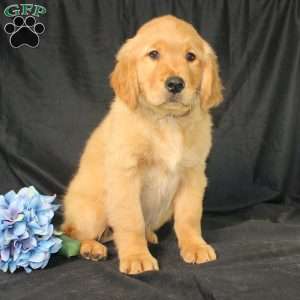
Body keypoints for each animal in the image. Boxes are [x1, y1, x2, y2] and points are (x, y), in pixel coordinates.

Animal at [62, 15, 223, 274]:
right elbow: (131, 221)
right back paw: (92, 248)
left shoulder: (193, 173)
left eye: (191, 56)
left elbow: (189, 216)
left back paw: (148, 236)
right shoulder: (126, 174)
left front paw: (195, 246)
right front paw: (136, 256)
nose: (175, 84)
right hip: (91, 212)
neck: (167, 120)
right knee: (71, 232)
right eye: (153, 54)